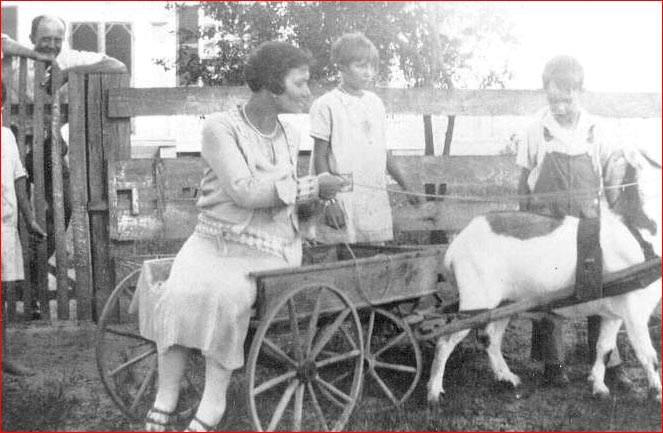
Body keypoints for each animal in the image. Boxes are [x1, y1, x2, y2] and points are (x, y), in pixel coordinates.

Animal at [426, 147, 662, 404]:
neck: (639, 232)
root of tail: (458, 242)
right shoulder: (636, 312)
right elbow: (648, 355)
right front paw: (656, 393)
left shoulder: (614, 313)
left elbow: (604, 349)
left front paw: (599, 386)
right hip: (477, 301)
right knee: (445, 341)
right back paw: (433, 392)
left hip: (505, 302)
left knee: (490, 339)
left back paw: (507, 377)